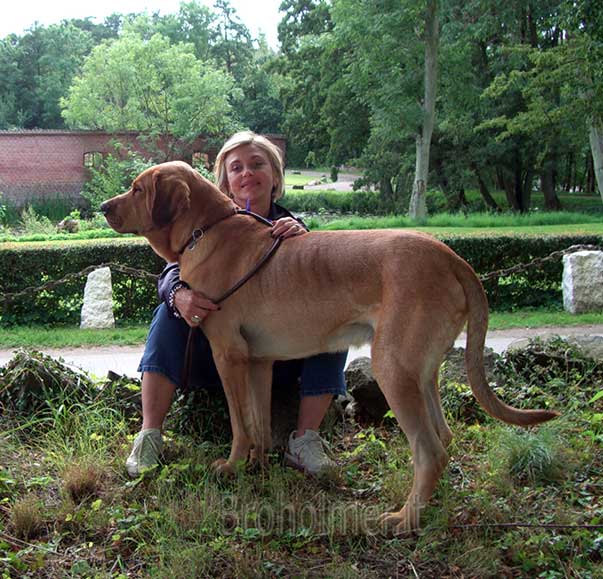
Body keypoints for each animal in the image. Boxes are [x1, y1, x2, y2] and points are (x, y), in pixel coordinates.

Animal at [101, 161, 558, 532]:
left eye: (138, 189)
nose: (104, 207)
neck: (206, 231)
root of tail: (453, 257)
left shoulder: (228, 354)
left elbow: (239, 423)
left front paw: (232, 466)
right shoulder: (258, 361)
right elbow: (259, 422)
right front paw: (258, 468)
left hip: (392, 368)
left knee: (429, 450)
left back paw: (405, 518)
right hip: (423, 371)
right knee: (444, 437)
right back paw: (432, 504)